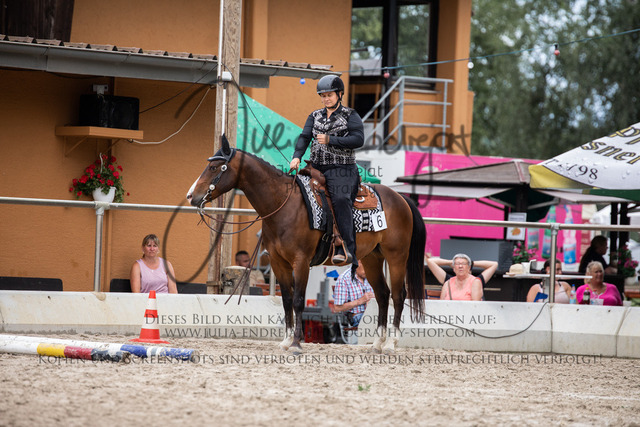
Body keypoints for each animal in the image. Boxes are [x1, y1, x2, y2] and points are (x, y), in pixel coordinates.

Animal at [187, 136, 425, 353]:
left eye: (214, 167)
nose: (191, 196)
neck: (284, 205)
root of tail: (401, 198)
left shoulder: (301, 261)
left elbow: (299, 300)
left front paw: (296, 343)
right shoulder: (278, 263)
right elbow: (286, 300)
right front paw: (286, 341)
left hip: (396, 256)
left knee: (398, 295)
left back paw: (391, 344)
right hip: (372, 258)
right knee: (383, 295)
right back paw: (377, 344)